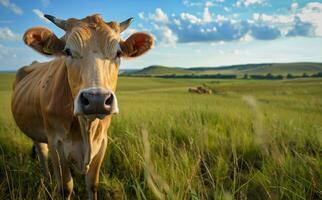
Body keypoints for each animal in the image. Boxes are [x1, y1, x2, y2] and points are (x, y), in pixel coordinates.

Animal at [11, 13, 153, 199]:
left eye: (118, 53)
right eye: (67, 51)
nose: (97, 99)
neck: (86, 129)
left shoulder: (102, 142)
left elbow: (92, 184)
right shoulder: (56, 144)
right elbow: (66, 187)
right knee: (42, 154)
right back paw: (47, 181)